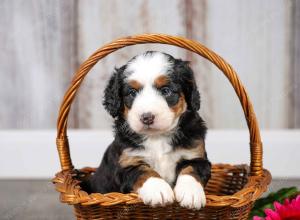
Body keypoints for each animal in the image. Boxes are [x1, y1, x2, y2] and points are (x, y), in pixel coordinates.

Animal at [83, 50, 212, 210]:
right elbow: (144, 171)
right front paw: (158, 190)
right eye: (132, 93)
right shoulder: (126, 163)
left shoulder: (196, 155)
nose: (147, 117)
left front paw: (191, 193)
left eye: (166, 90)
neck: (157, 137)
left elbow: (191, 169)